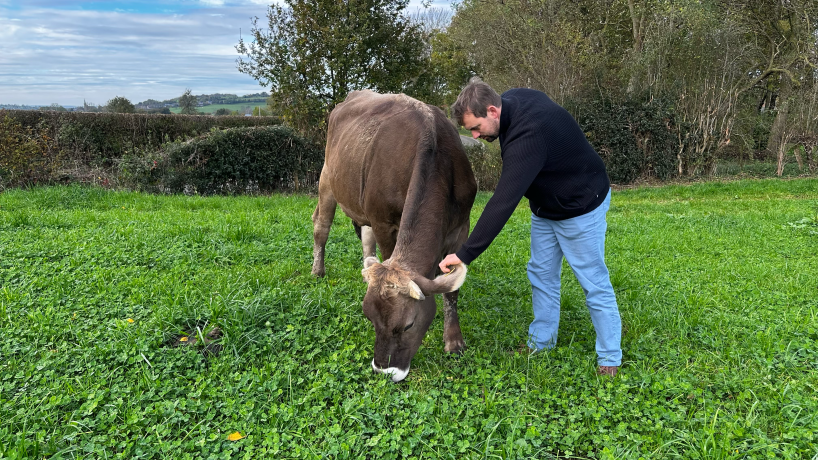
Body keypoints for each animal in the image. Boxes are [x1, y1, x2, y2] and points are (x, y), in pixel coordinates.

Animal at [311, 90, 477, 382]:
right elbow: (387, 254)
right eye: (369, 319)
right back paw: (317, 271)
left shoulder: (461, 227)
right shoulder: (383, 222)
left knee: (365, 242)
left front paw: (454, 341)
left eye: (408, 325)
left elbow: (452, 291)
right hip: (328, 178)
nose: (383, 370)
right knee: (321, 228)